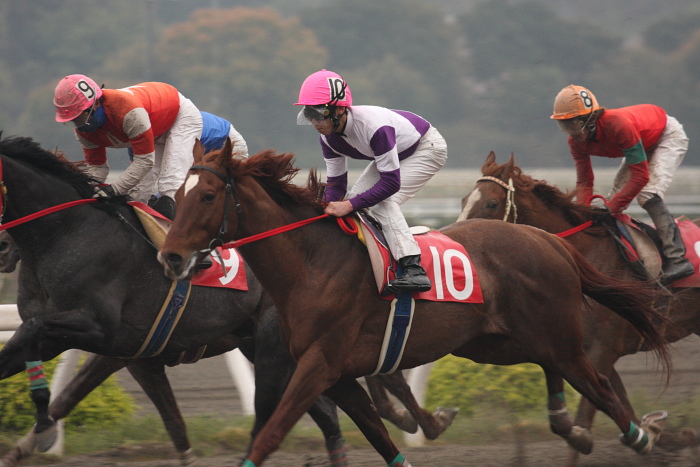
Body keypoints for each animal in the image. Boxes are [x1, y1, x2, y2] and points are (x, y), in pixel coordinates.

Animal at [0, 136, 452, 467]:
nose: (4, 250)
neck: (66, 233)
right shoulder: (131, 353)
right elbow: (171, 422)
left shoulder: (103, 332)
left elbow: (58, 377)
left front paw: (40, 431)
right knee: (329, 410)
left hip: (275, 346)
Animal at [157, 140, 672, 467]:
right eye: (177, 194)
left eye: (207, 195)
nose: (171, 256)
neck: (313, 260)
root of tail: (549, 240)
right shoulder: (336, 373)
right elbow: (379, 435)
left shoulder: (319, 365)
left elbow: (268, 436)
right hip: (503, 343)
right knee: (569, 376)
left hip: (557, 339)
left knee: (600, 386)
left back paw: (643, 437)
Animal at [460, 152, 700, 466]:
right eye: (464, 200)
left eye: (491, 203)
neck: (583, 254)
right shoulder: (588, 352)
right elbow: (623, 410)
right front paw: (666, 434)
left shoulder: (601, 350)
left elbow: (585, 420)